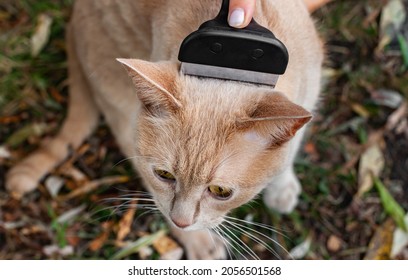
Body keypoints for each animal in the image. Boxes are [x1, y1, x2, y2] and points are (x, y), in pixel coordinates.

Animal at [6, 0, 324, 260]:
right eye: (165, 175)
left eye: (221, 191)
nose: (182, 221)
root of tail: (73, 20)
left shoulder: (310, 93)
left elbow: (289, 153)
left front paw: (281, 187)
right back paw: (200, 244)